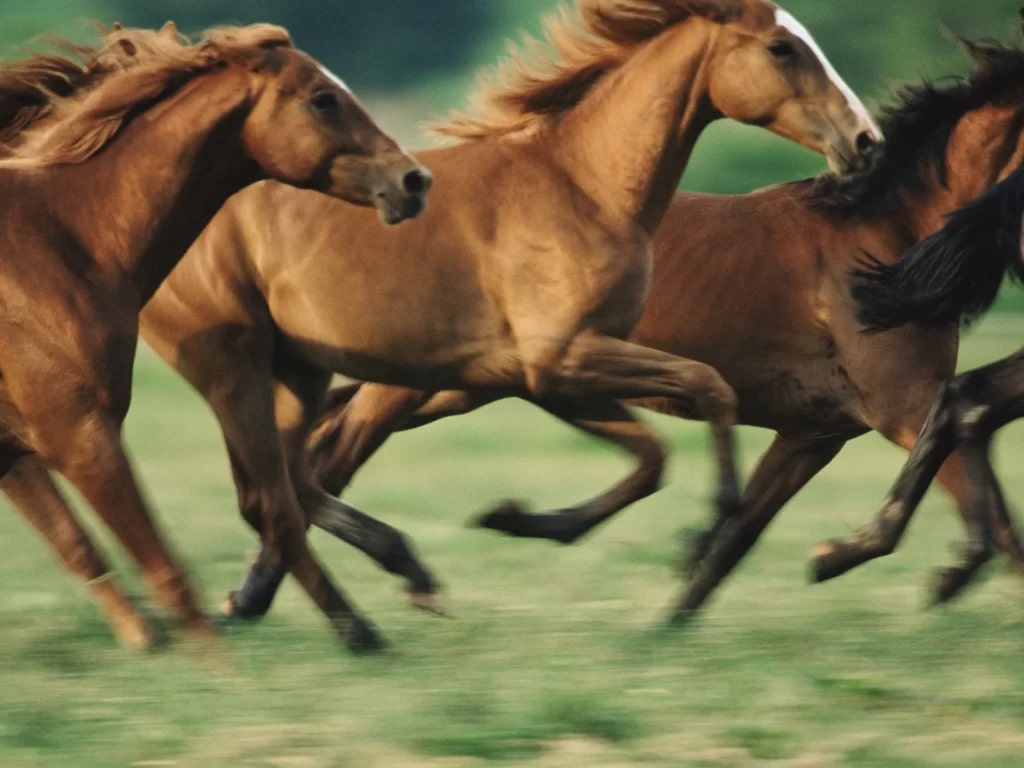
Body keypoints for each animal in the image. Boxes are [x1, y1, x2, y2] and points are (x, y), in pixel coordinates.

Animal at [0, 22, 428, 651]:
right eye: (323, 99)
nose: (414, 180)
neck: (58, 243)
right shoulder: (79, 436)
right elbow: (170, 570)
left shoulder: (19, 449)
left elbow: (83, 550)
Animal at [134, 0, 872, 626]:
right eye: (782, 48)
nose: (864, 139)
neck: (585, 186)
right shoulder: (560, 362)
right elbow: (707, 390)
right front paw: (702, 529)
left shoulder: (551, 377)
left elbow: (652, 456)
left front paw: (522, 519)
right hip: (305, 375)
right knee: (301, 472)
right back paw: (370, 576)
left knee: (295, 471)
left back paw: (275, 591)